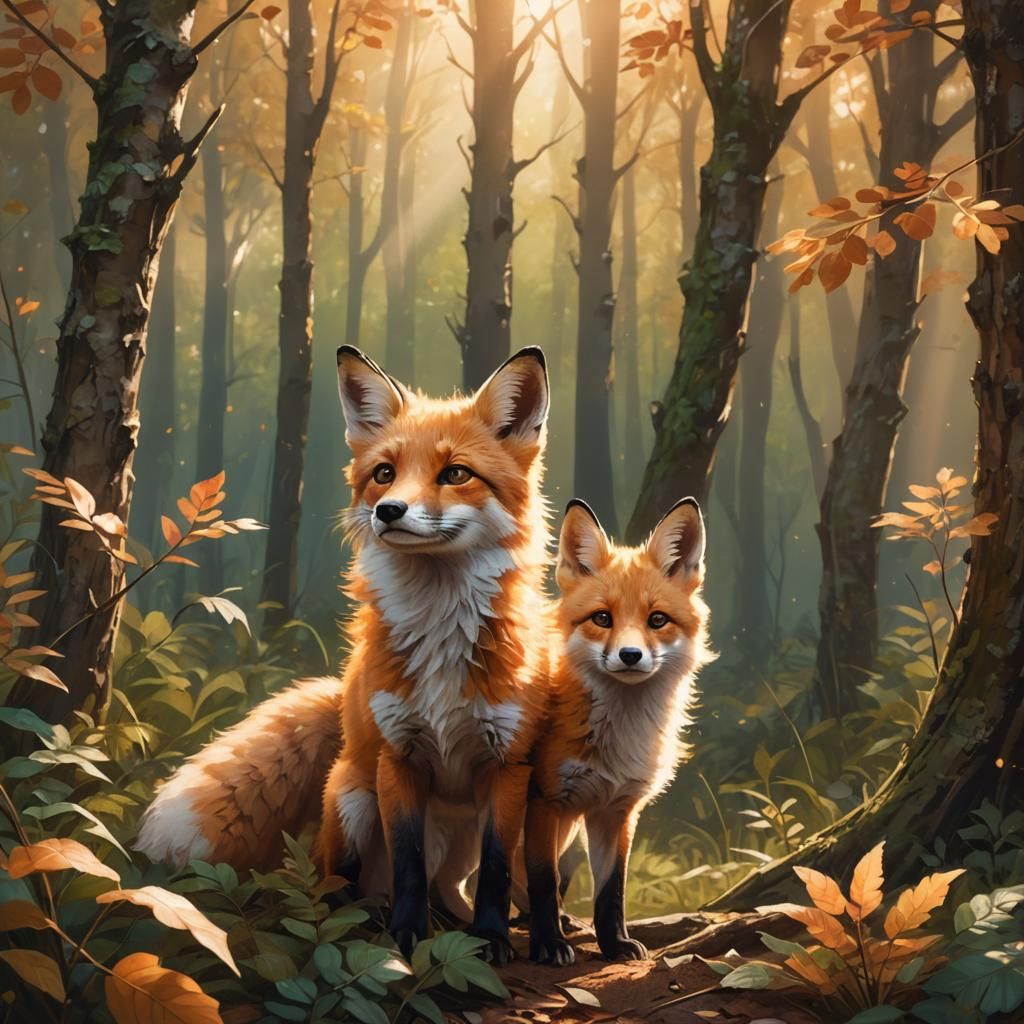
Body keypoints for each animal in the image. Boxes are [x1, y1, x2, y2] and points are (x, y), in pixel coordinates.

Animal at [138, 344, 552, 961]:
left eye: (456, 474)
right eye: (384, 473)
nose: (389, 510)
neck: (441, 637)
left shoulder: (508, 766)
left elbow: (498, 871)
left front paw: (493, 939)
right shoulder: (397, 758)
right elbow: (407, 864)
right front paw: (406, 937)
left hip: (465, 832)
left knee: (450, 883)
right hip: (354, 799)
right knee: (343, 884)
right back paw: (362, 921)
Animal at [524, 498, 710, 966]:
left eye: (657, 619)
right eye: (602, 618)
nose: (630, 655)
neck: (616, 737)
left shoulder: (618, 811)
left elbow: (611, 892)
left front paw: (614, 944)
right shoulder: (543, 801)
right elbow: (542, 883)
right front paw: (548, 943)